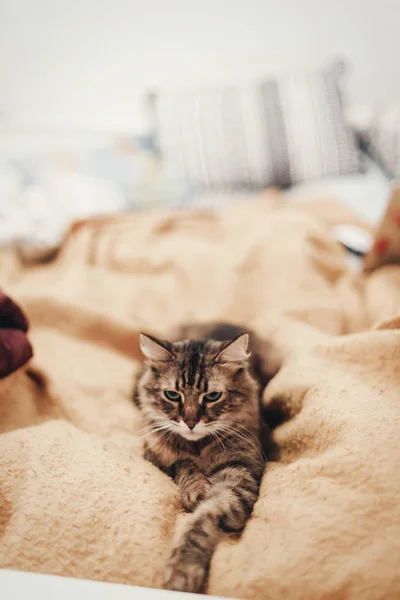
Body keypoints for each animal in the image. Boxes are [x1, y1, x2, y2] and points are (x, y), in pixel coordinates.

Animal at [132, 322, 278, 592]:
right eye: (172, 395)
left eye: (212, 396)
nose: (190, 422)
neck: (198, 445)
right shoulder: (155, 453)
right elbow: (183, 464)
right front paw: (195, 489)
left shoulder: (239, 473)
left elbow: (203, 518)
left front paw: (183, 569)